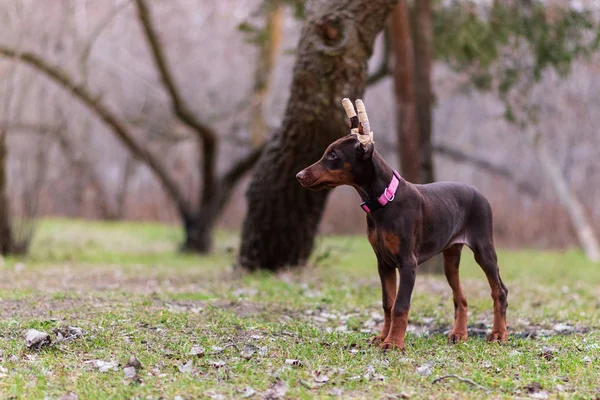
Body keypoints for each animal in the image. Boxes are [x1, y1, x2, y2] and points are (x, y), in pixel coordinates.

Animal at [296, 99, 506, 350]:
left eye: (333, 155)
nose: (299, 175)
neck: (384, 200)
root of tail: (478, 192)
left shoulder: (408, 263)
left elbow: (400, 305)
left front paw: (394, 342)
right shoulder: (383, 262)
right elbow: (388, 302)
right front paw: (382, 337)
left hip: (483, 248)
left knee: (499, 291)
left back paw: (498, 334)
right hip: (450, 257)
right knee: (460, 297)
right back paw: (459, 334)